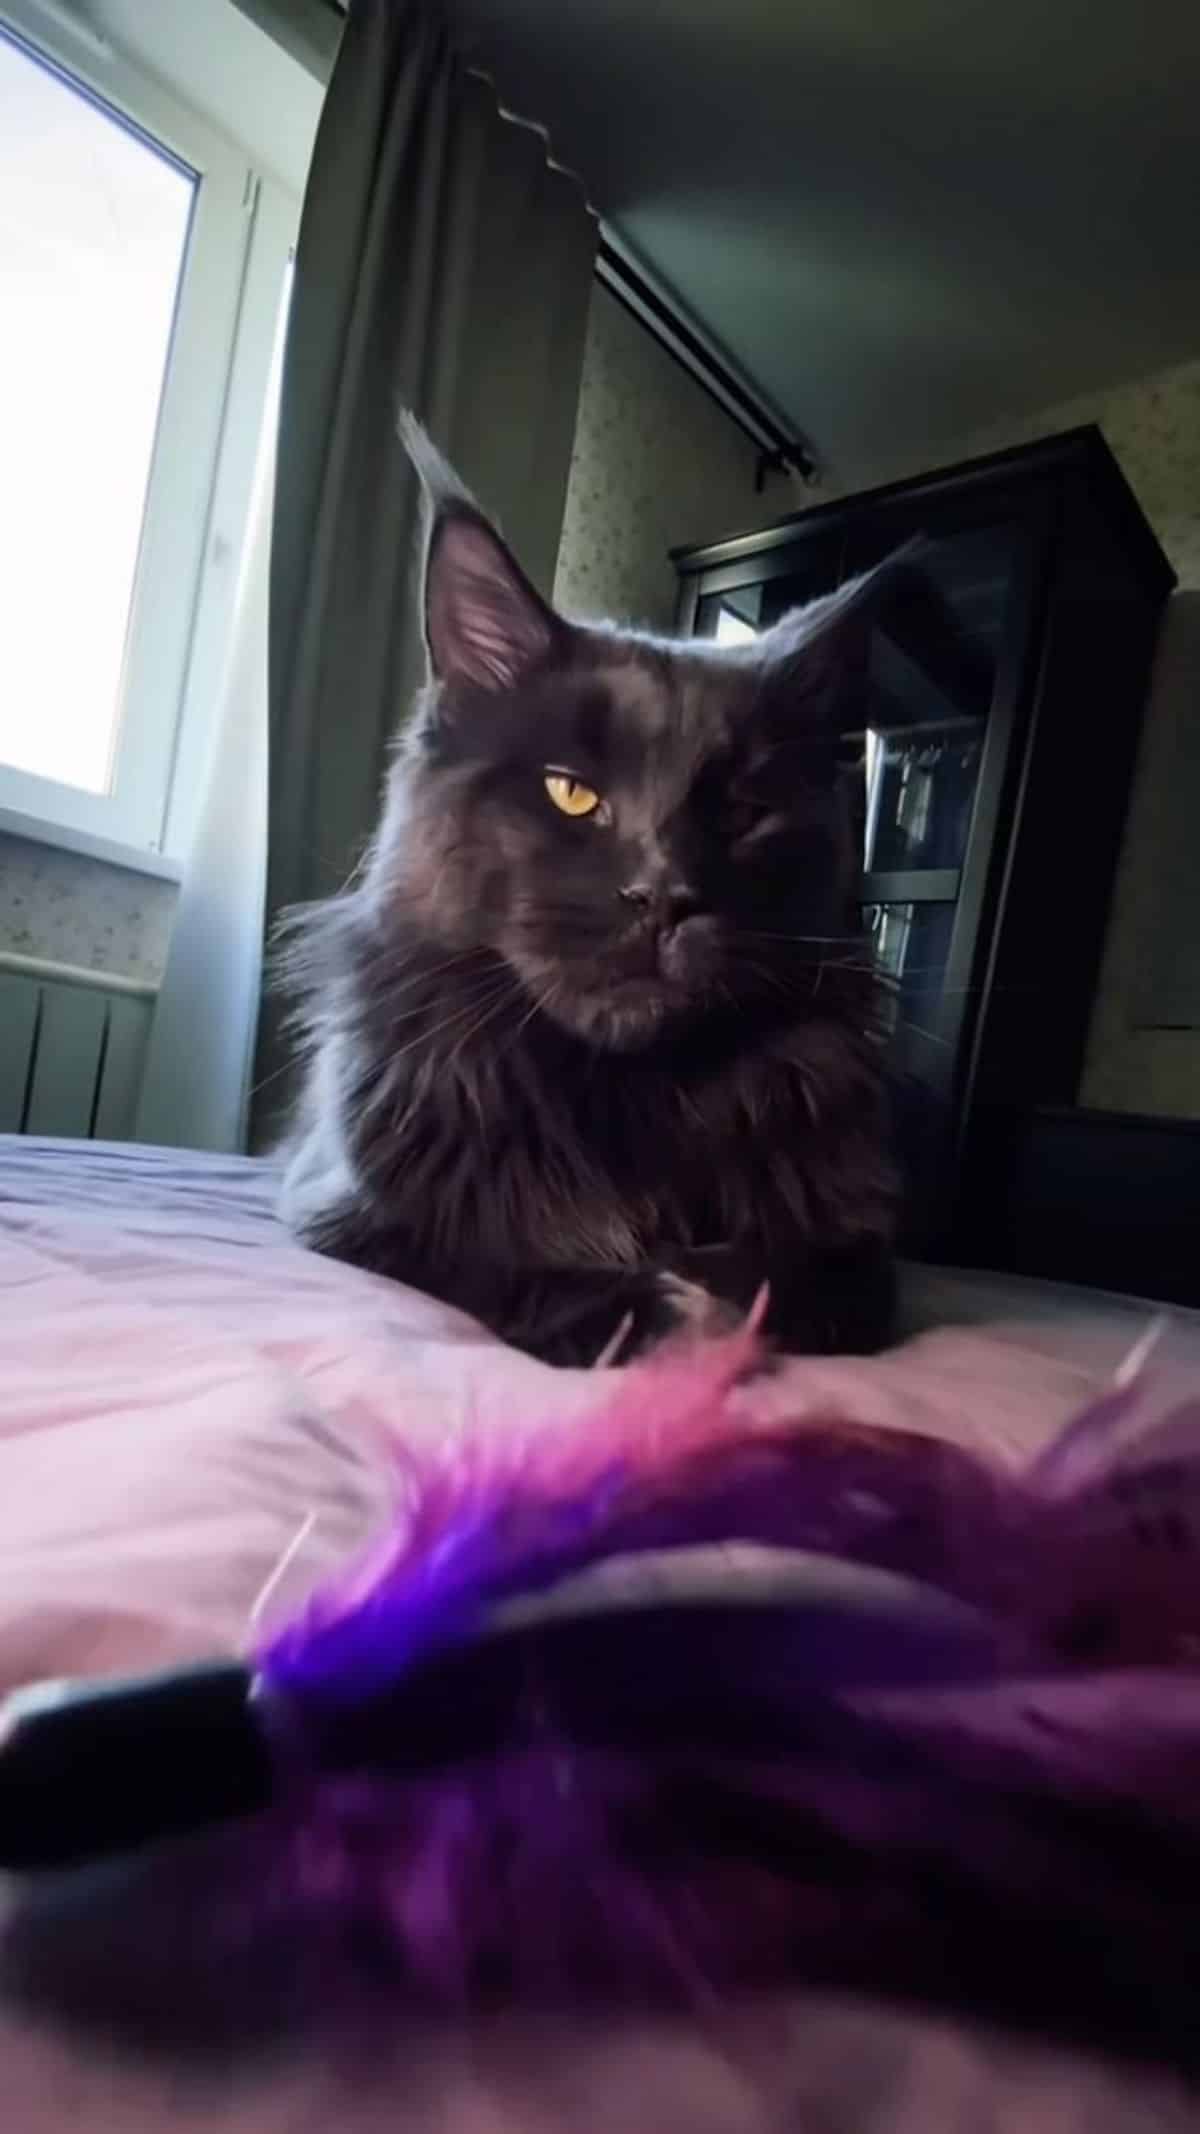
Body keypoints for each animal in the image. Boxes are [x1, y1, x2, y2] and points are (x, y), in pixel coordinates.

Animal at [279, 424, 896, 1365]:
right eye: (570, 792)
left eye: (740, 814)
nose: (664, 896)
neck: (621, 1094)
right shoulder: (342, 1208)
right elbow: (474, 1255)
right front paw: (634, 1308)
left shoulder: (860, 1248)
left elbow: (813, 1282)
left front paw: (713, 1286)